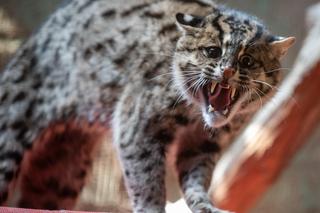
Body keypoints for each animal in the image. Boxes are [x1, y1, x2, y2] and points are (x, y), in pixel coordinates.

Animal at [0, 0, 296, 213]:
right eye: (212, 51)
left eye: (247, 61)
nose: (227, 72)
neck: (194, 114)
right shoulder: (136, 125)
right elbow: (146, 176)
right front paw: (151, 207)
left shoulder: (204, 144)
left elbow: (197, 178)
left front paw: (205, 206)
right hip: (12, 131)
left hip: (61, 169)